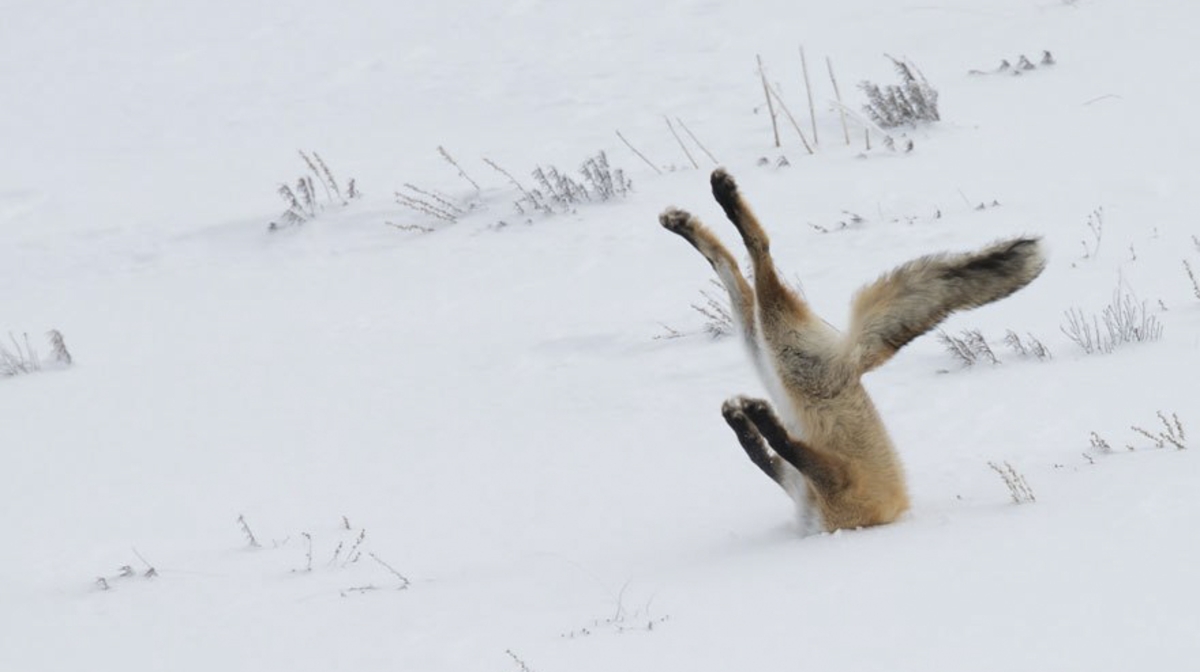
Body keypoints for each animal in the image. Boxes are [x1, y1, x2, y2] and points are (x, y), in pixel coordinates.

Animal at [662, 170, 1046, 532]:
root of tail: (853, 360)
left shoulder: (835, 484)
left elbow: (779, 447)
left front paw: (755, 417)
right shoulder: (802, 483)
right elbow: (761, 453)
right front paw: (743, 419)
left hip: (780, 350)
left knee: (759, 254)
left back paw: (722, 198)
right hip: (765, 348)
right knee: (732, 267)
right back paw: (687, 220)